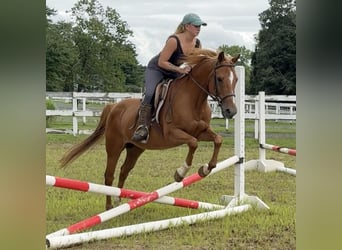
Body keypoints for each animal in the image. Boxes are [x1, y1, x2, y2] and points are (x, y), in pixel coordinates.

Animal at [60, 48, 239, 209]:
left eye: (236, 79)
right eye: (220, 78)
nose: (231, 111)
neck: (193, 100)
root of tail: (113, 106)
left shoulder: (201, 131)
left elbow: (218, 139)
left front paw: (206, 169)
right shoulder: (173, 134)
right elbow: (193, 143)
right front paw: (180, 173)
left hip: (135, 148)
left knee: (124, 170)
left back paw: (118, 201)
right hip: (114, 147)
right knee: (109, 175)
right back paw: (109, 206)